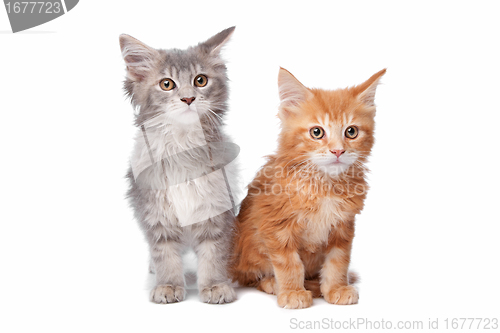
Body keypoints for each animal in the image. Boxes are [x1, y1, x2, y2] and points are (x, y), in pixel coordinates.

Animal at [120, 26, 239, 304]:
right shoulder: (156, 214)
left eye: (200, 80)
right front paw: (168, 285)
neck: (182, 146)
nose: (188, 99)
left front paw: (215, 285)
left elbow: (214, 253)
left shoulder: (216, 209)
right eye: (167, 84)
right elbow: (165, 255)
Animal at [230, 67, 386, 308]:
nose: (338, 151)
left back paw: (315, 285)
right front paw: (292, 292)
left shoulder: (343, 227)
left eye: (351, 132)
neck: (324, 185)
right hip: (246, 252)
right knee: (251, 277)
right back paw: (274, 283)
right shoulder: (276, 227)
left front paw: (336, 288)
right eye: (317, 132)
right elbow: (289, 263)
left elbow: (338, 262)